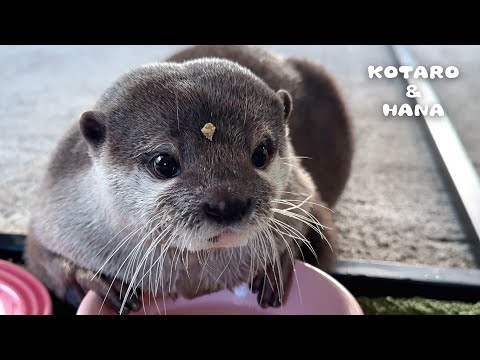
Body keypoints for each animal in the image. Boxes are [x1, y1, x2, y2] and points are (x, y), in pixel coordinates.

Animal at [23, 45, 352, 316]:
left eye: (261, 152)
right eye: (164, 163)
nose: (227, 204)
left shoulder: (304, 192)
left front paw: (275, 265)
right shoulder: (56, 206)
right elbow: (40, 255)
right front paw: (92, 280)